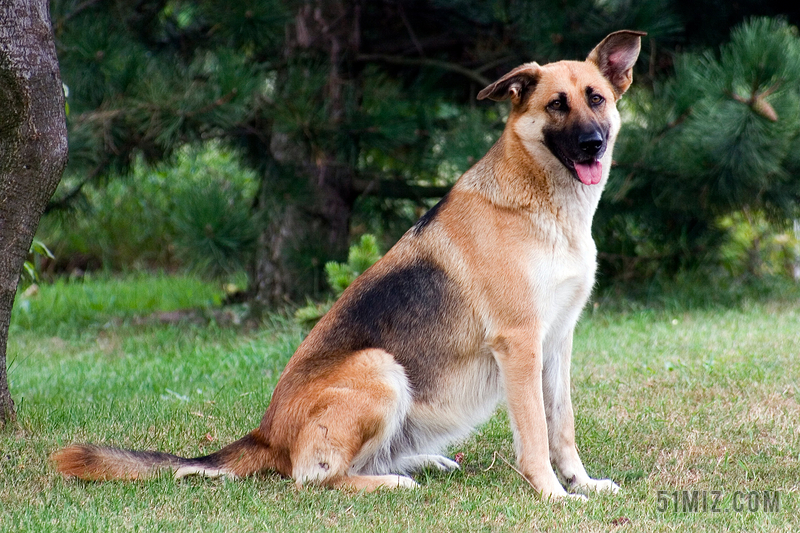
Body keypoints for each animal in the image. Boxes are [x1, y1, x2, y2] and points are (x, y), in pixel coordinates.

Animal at [53, 31, 644, 498]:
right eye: (556, 106)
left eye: (596, 99)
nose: (593, 144)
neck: (543, 204)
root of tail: (266, 434)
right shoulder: (520, 344)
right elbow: (537, 435)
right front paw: (552, 495)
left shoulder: (556, 343)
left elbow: (562, 426)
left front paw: (582, 483)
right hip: (380, 368)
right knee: (314, 477)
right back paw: (391, 482)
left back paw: (420, 462)